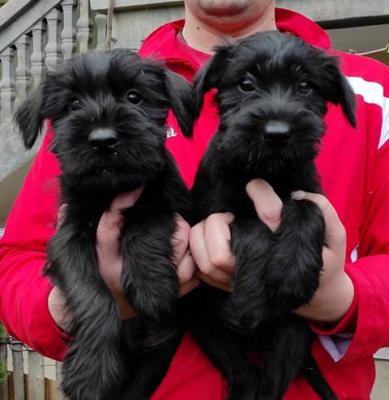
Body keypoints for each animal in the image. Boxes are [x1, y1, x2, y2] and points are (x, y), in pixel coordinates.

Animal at [14, 50, 192, 400]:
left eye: (134, 97)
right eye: (72, 103)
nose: (103, 140)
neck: (111, 189)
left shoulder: (169, 200)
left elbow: (147, 220)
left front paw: (152, 284)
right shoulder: (69, 237)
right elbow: (92, 293)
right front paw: (92, 371)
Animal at [187, 32, 354, 400]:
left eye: (306, 86)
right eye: (246, 84)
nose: (277, 134)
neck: (267, 171)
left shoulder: (311, 191)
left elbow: (307, 210)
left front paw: (292, 273)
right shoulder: (212, 216)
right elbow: (252, 228)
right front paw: (250, 298)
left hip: (291, 333)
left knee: (269, 384)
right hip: (206, 324)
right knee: (244, 374)